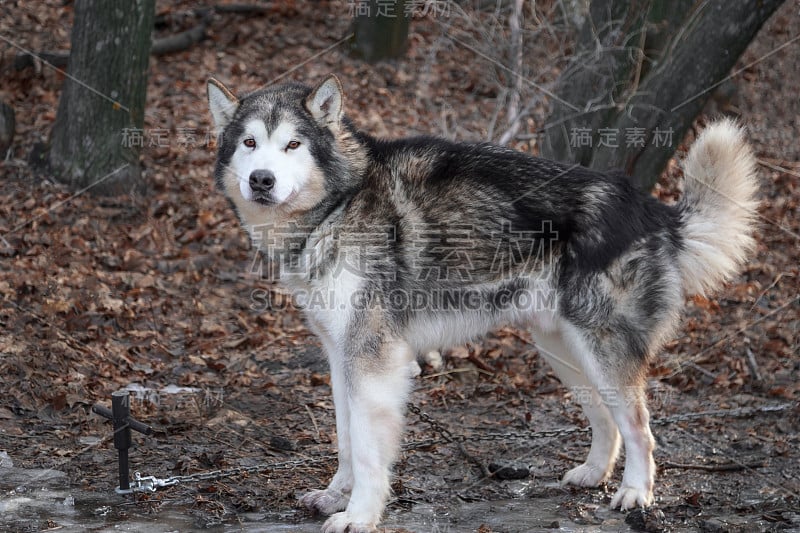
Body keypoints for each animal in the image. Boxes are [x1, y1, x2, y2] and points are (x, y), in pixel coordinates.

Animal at [206, 75, 756, 532]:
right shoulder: (342, 358)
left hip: (600, 351)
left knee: (640, 429)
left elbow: (366, 451)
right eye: (250, 143)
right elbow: (346, 440)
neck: (338, 205)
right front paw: (335, 496)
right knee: (607, 420)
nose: (261, 179)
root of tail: (651, 208)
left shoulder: (374, 362)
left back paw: (635, 493)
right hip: (562, 350)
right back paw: (594, 474)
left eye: (292, 144)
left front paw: (359, 515)